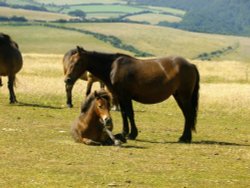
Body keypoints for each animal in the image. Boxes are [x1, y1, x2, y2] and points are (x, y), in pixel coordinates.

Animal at [65, 46, 200, 142]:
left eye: (77, 62)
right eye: (70, 61)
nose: (67, 79)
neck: (113, 67)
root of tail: (191, 65)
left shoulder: (126, 96)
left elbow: (130, 113)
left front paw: (132, 134)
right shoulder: (119, 96)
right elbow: (124, 114)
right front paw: (125, 132)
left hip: (184, 96)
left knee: (188, 114)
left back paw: (185, 138)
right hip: (178, 96)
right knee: (187, 114)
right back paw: (185, 137)